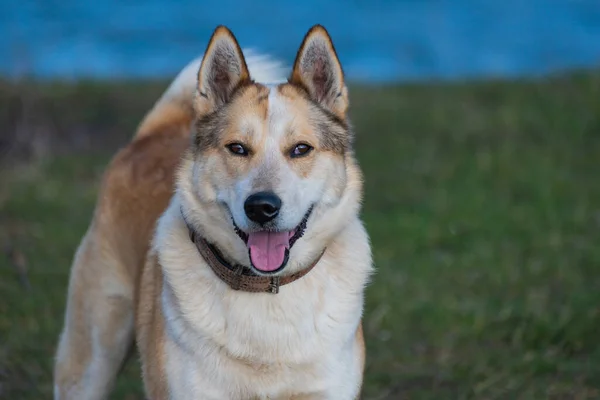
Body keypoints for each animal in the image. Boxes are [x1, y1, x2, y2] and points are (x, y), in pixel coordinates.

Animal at [54, 25, 372, 400]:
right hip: (90, 358)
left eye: (300, 149)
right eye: (237, 148)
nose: (262, 207)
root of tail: (151, 136)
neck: (265, 290)